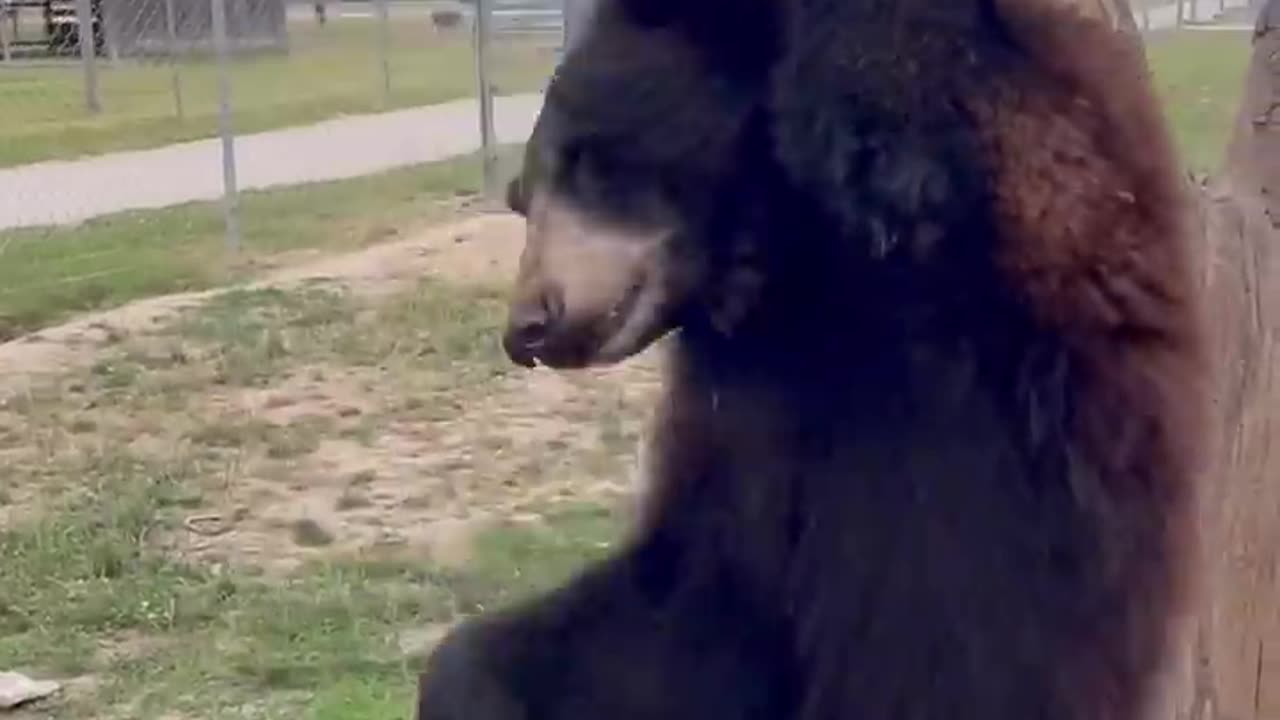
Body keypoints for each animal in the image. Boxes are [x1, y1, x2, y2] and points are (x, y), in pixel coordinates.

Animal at [417, 0, 1208, 718]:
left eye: (589, 159)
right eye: (523, 197)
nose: (528, 328)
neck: (784, 284)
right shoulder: (734, 471)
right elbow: (663, 613)